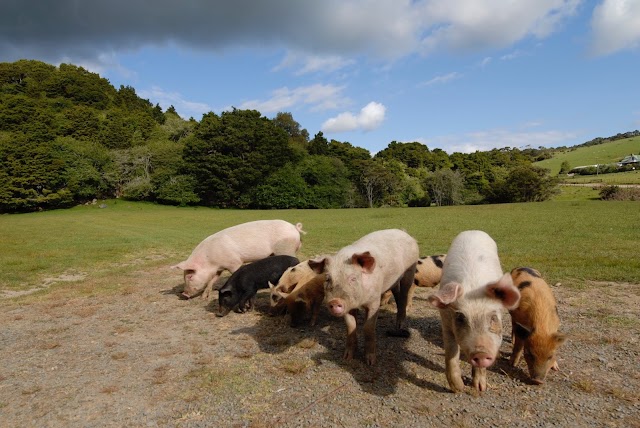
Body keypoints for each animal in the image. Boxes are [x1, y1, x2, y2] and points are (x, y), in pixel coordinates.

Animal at [172, 219, 304, 300]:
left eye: (190, 276)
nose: (184, 294)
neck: (210, 260)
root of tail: (294, 228)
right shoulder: (219, 268)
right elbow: (211, 281)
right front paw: (203, 298)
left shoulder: (234, 263)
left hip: (286, 248)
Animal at [308, 229, 420, 366]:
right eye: (328, 279)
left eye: (352, 278)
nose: (335, 301)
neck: (360, 302)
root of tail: (404, 232)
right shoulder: (348, 306)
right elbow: (350, 327)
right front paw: (347, 358)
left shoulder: (374, 301)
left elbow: (368, 328)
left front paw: (370, 362)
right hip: (394, 281)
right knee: (397, 294)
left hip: (410, 271)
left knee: (404, 295)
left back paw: (399, 326)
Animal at [424, 229, 520, 392]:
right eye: (460, 317)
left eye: (493, 317)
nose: (481, 353)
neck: (473, 288)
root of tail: (473, 231)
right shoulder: (446, 321)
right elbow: (451, 353)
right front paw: (458, 388)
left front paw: (480, 388)